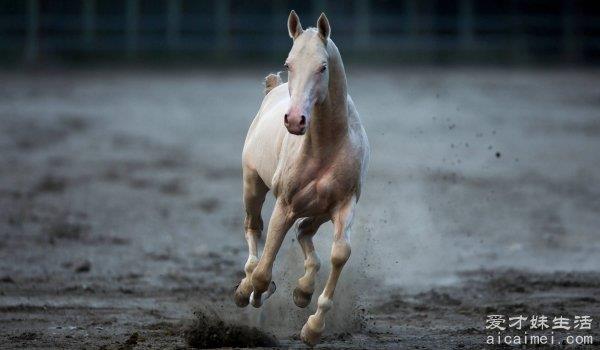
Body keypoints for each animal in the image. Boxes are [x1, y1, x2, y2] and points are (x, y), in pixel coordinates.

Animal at [234, 10, 370, 348]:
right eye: (289, 63)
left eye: (323, 67)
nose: (295, 120)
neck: (325, 144)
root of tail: (273, 89)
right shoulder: (285, 205)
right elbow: (264, 269)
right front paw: (252, 291)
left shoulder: (344, 204)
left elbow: (339, 254)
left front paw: (313, 327)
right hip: (253, 186)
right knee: (254, 229)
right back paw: (247, 288)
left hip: (319, 210)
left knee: (304, 232)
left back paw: (302, 290)